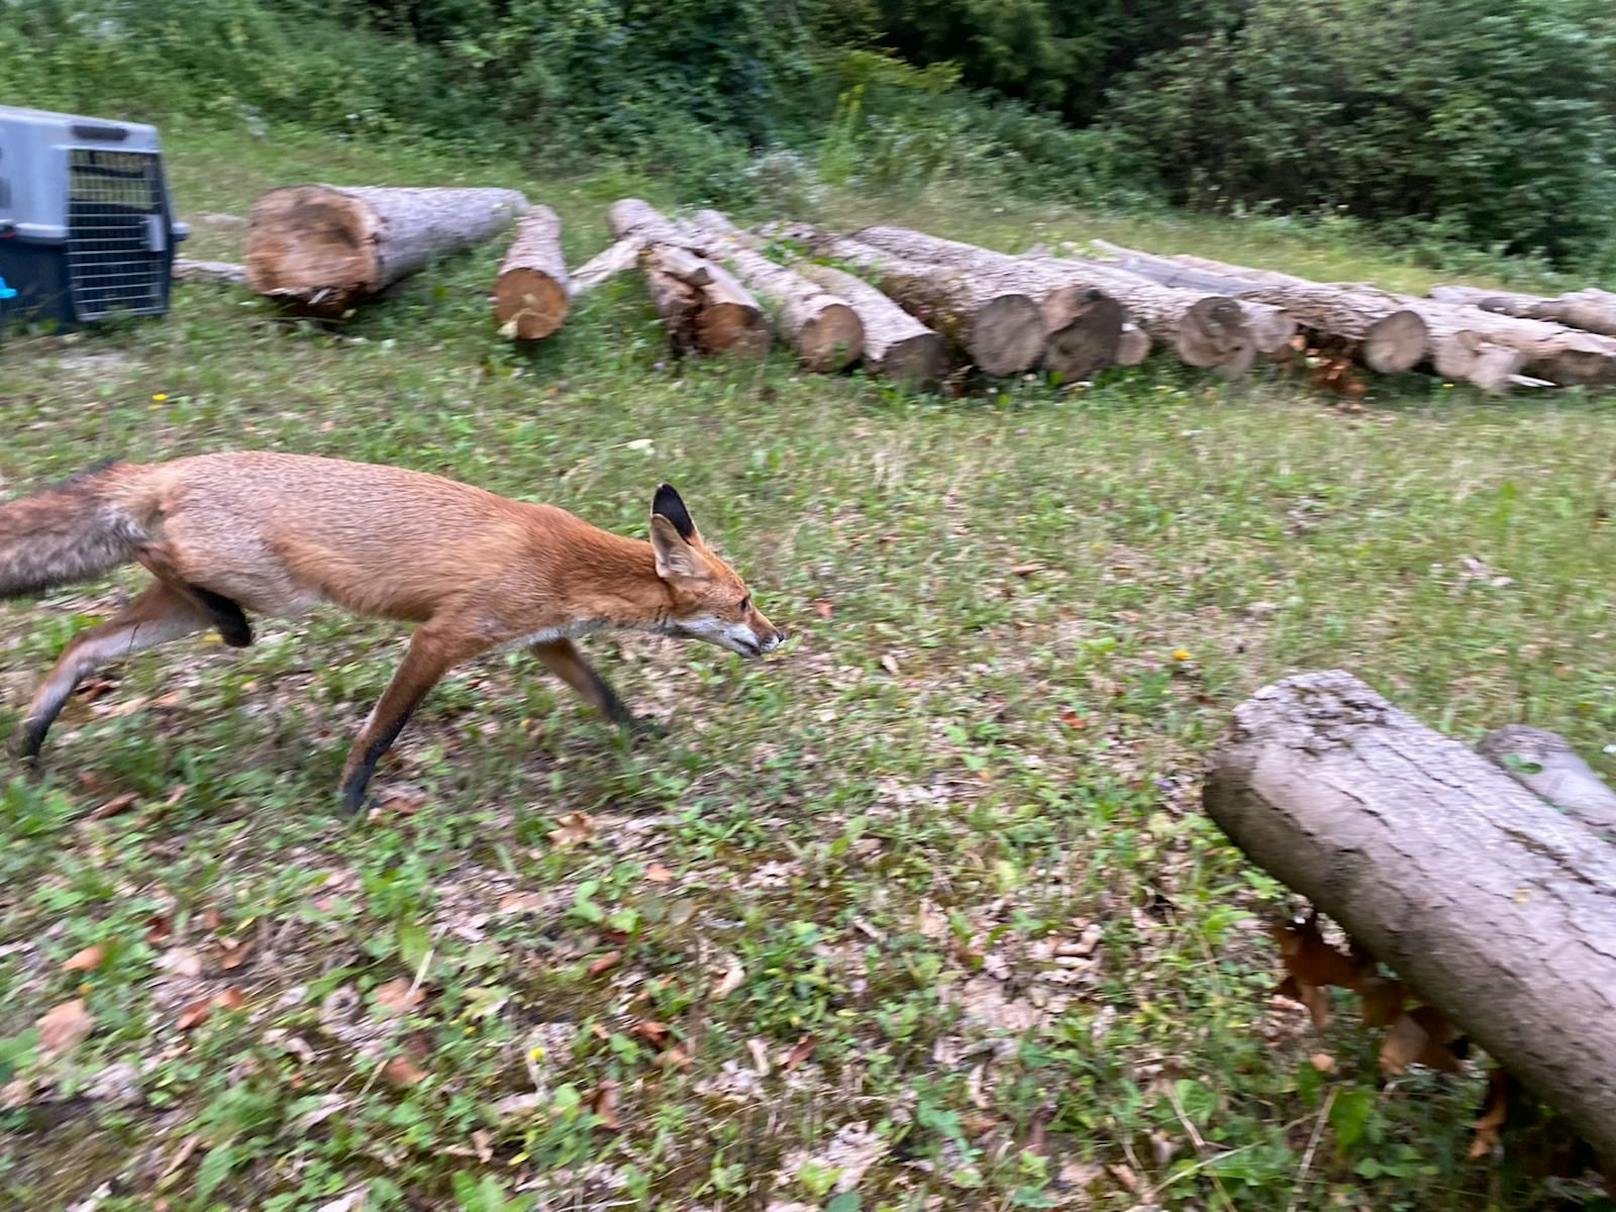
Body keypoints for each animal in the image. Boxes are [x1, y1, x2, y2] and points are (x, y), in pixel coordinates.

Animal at [0, 455, 782, 817]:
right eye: (745, 603)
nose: (778, 637)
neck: (566, 563)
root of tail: (169, 467)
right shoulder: (444, 637)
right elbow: (381, 728)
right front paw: (350, 799)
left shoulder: (542, 640)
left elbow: (604, 694)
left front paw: (641, 732)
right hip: (269, 588)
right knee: (149, 553)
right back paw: (228, 626)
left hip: (185, 607)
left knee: (81, 647)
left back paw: (31, 740)